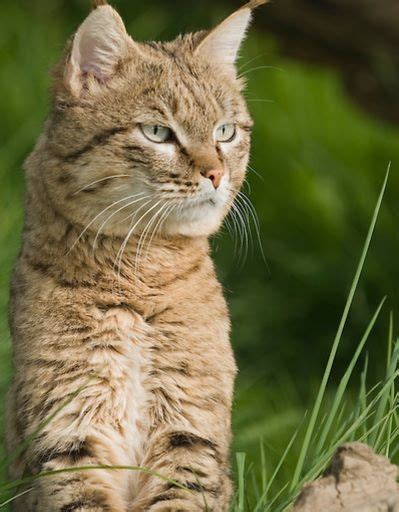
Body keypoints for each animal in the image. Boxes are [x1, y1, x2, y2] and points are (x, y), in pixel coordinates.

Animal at [7, 0, 266, 510]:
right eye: (157, 132)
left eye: (225, 132)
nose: (216, 174)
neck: (137, 272)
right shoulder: (67, 424)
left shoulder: (190, 427)